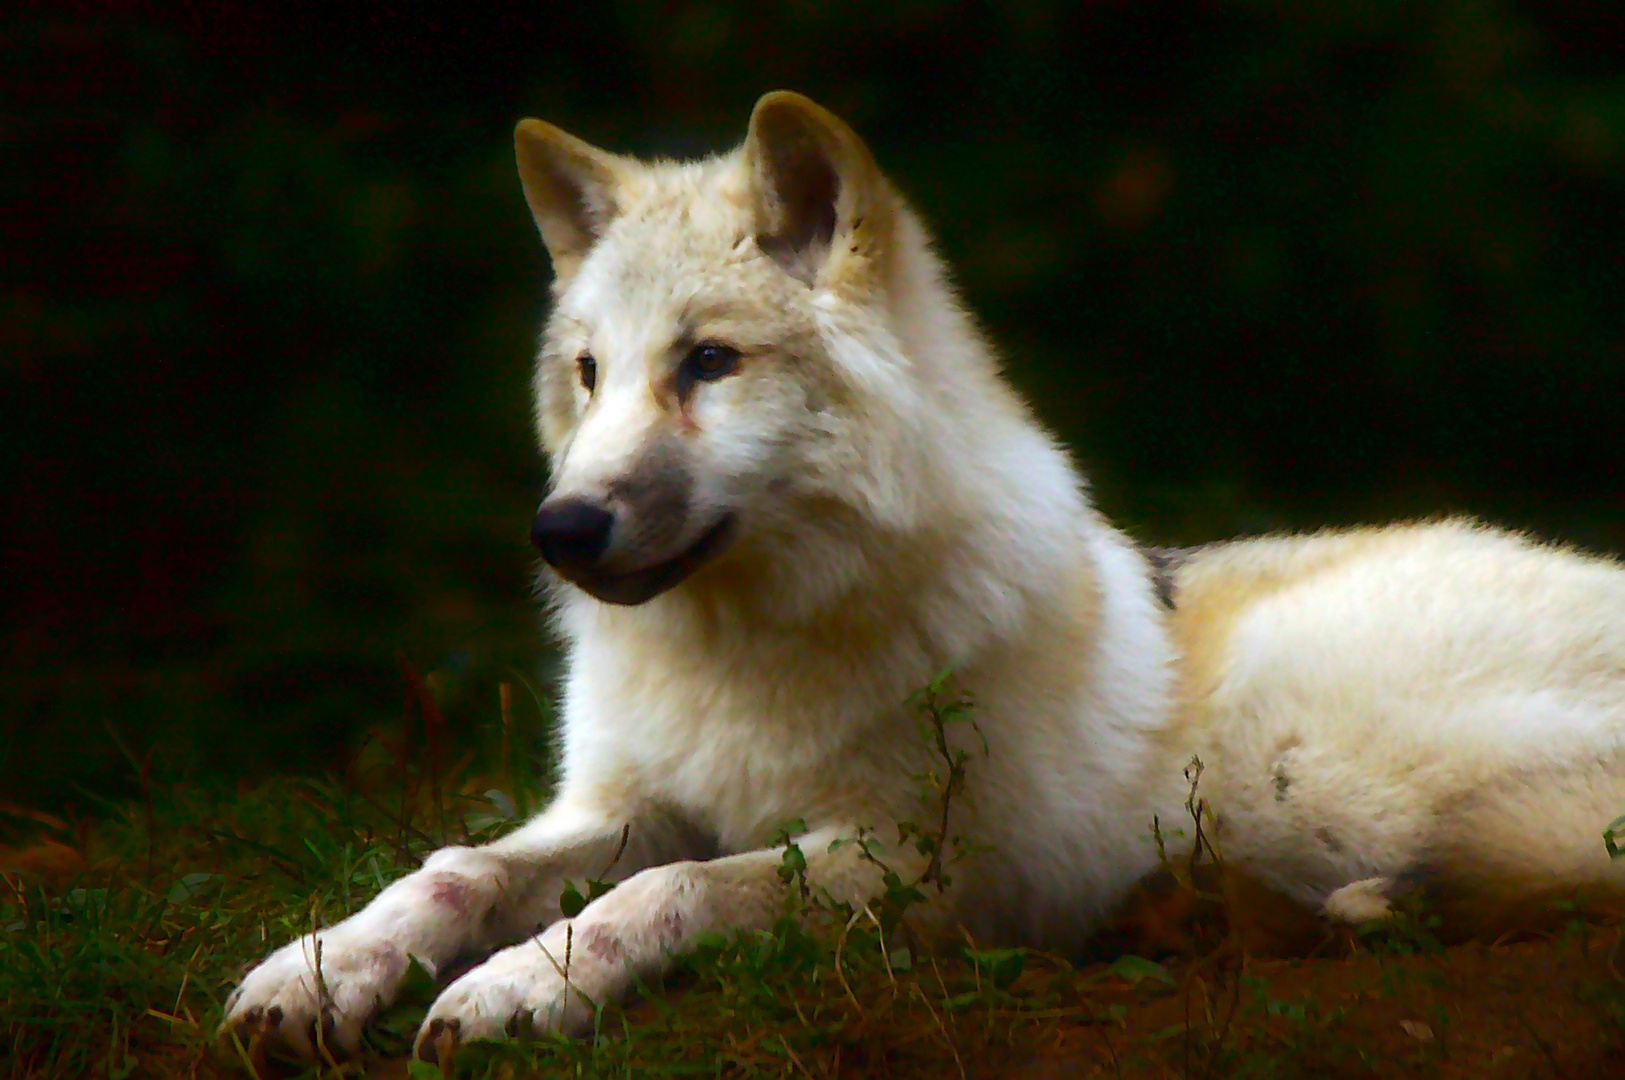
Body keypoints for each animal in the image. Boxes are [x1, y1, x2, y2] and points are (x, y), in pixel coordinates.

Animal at [225, 88, 1625, 1058]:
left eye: (707, 363)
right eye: (588, 373)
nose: (559, 529)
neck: (749, 653)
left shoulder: (918, 866)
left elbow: (666, 892)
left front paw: (516, 988)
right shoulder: (622, 801)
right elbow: (453, 867)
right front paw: (317, 972)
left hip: (1301, 745)